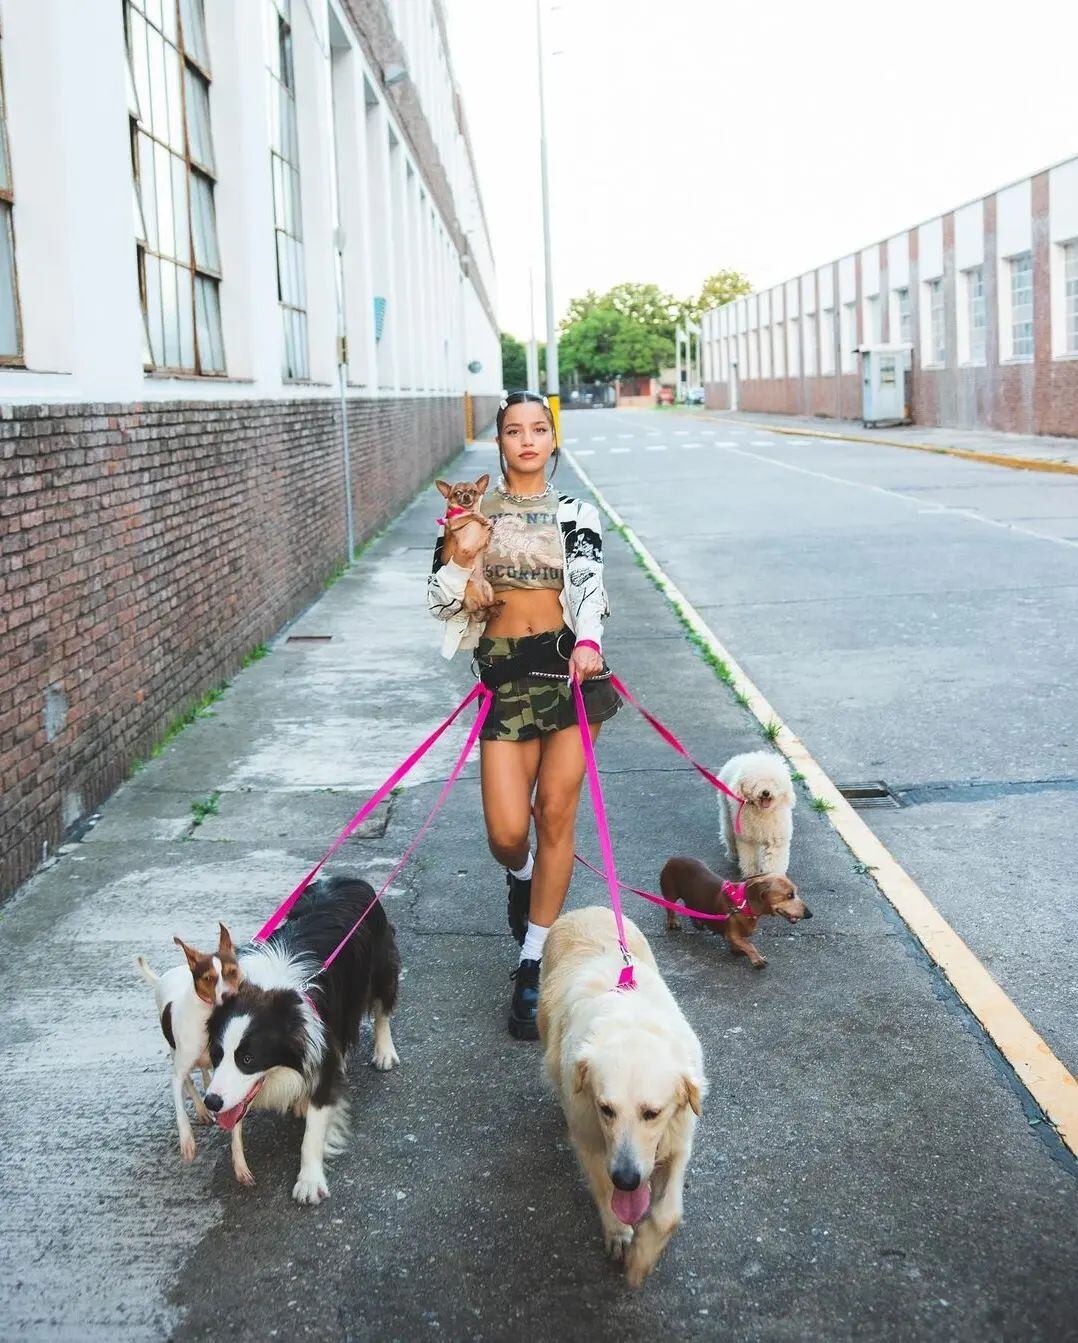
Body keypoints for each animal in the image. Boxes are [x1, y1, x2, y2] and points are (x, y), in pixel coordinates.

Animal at [136, 929, 241, 1160]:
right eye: (208, 977)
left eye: (232, 972)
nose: (229, 995)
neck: (209, 1020)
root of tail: (162, 978)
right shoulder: (177, 1074)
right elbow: (180, 1108)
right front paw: (187, 1140)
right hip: (174, 1050)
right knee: (188, 1080)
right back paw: (201, 1109)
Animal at [204, 875, 402, 1203]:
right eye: (217, 1055)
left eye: (248, 1059)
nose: (211, 1102)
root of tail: (348, 877)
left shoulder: (318, 1051)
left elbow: (313, 1130)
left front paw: (309, 1182)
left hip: (381, 960)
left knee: (382, 1006)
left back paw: (385, 1052)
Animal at [434, 472, 502, 617]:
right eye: (457, 493)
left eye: (473, 491)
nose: (466, 495)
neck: (465, 509)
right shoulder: (455, 522)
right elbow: (470, 515)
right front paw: (479, 518)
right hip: (470, 589)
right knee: (482, 605)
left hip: (489, 588)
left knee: (488, 604)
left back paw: (496, 606)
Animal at [539, 907, 708, 1283]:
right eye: (606, 1109)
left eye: (652, 1113)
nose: (628, 1180)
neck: (632, 1023)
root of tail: (584, 910)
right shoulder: (588, 1136)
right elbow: (604, 1188)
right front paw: (619, 1234)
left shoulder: (679, 1139)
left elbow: (668, 1214)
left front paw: (641, 1259)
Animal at [663, 854, 816, 972]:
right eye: (789, 895)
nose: (809, 914)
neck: (742, 904)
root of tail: (672, 858)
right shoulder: (731, 933)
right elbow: (749, 945)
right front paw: (757, 960)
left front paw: (737, 950)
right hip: (670, 894)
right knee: (670, 909)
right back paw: (673, 923)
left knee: (689, 907)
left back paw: (698, 923)